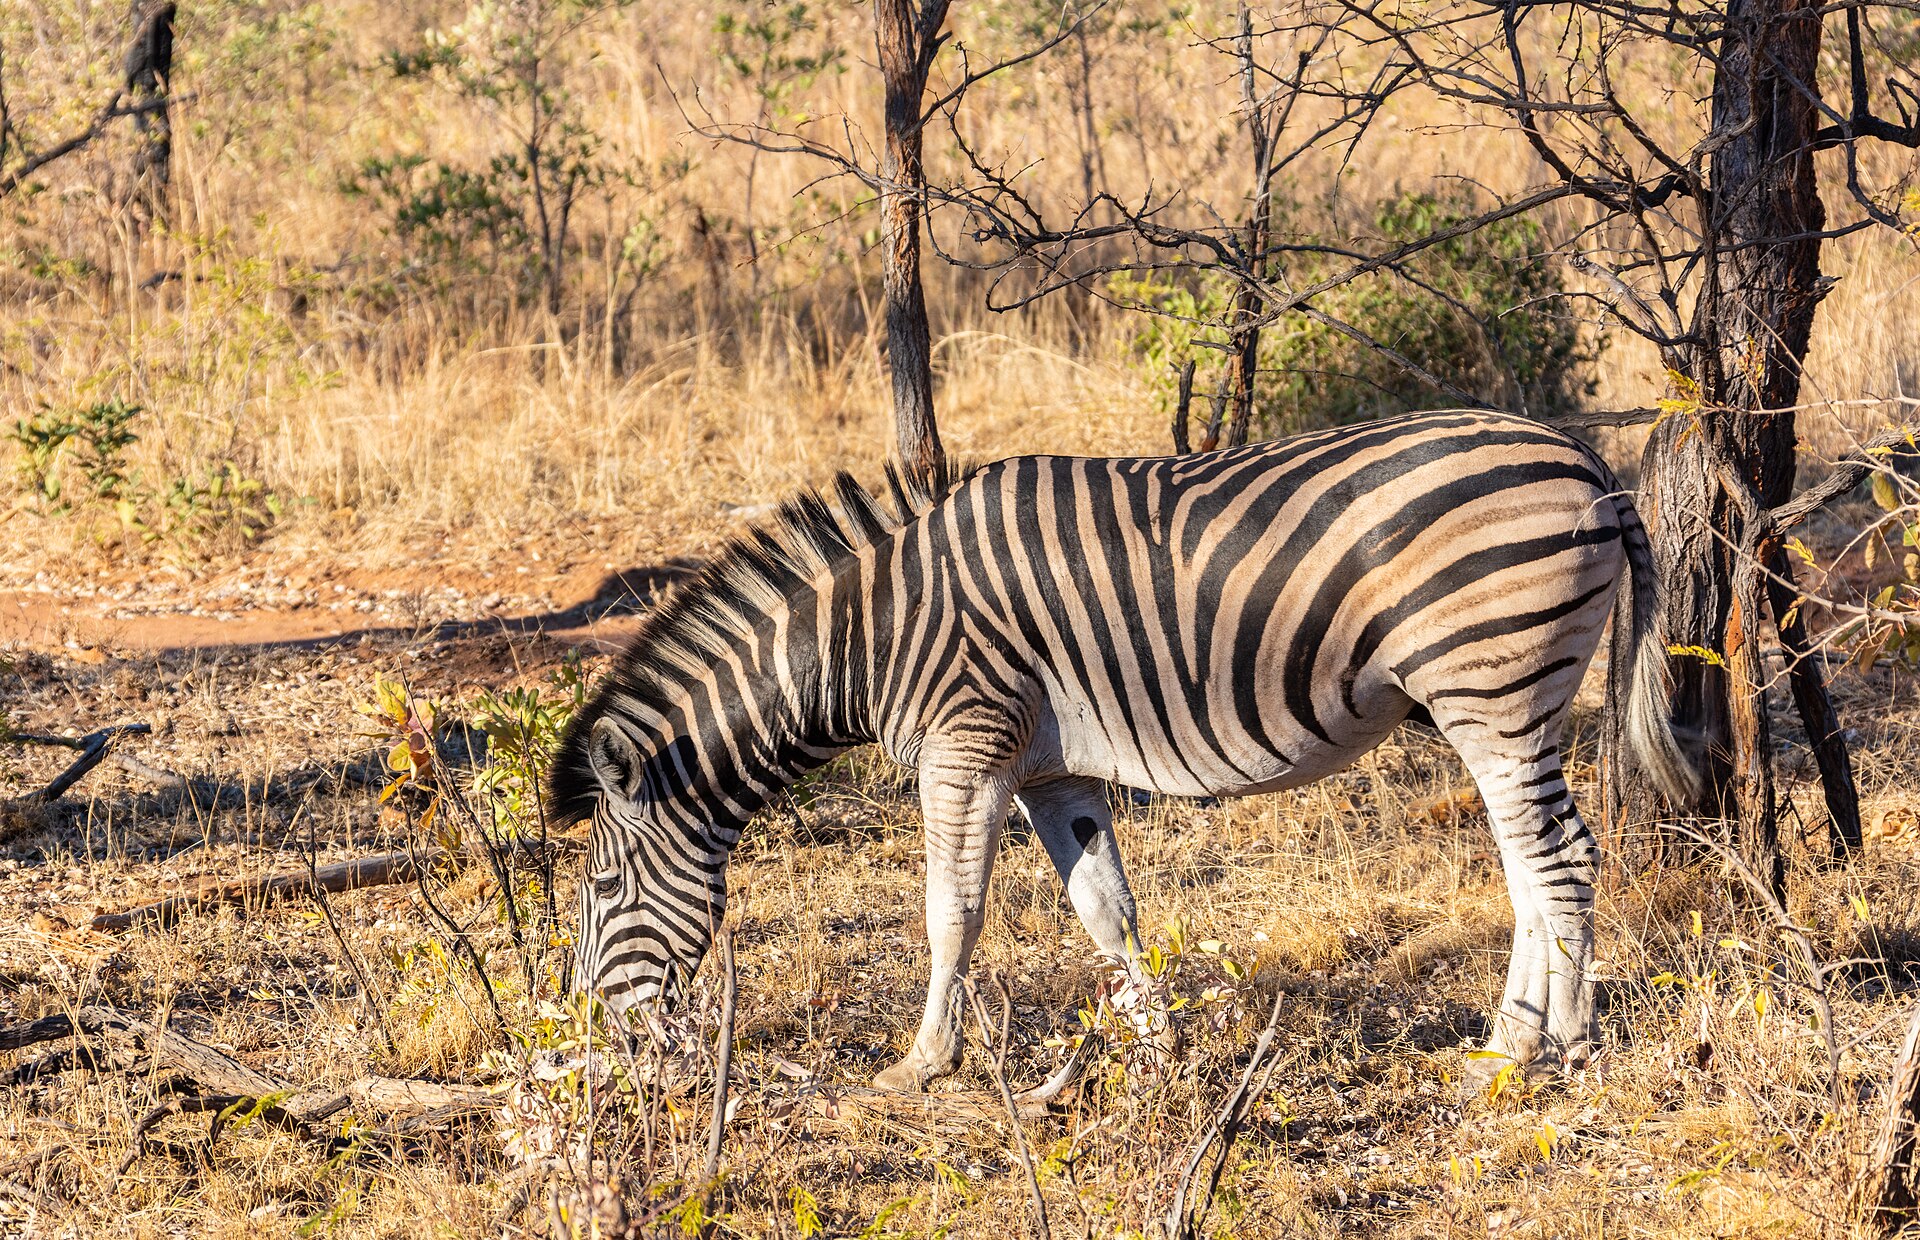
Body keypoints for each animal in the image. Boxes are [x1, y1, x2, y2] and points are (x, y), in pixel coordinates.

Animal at [551, 409, 1699, 1089]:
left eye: (601, 891)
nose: (600, 1038)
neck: (869, 639)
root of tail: (1585, 459)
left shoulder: (966, 745)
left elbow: (950, 911)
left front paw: (922, 1063)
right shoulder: (1053, 771)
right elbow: (1106, 908)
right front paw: (1160, 1047)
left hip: (1492, 689)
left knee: (1562, 862)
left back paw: (1553, 1049)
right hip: (1504, 705)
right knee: (1530, 867)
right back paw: (1510, 1038)